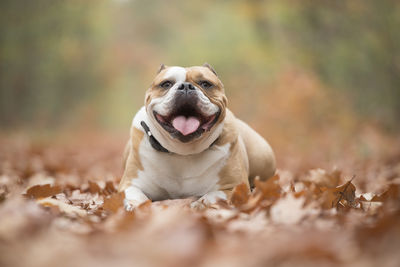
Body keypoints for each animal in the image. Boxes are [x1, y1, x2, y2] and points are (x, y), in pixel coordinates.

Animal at [119, 63, 276, 210]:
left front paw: (199, 205)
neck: (182, 152)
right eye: (166, 84)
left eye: (205, 84)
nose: (186, 86)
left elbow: (212, 196)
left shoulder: (234, 188)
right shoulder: (129, 185)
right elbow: (136, 196)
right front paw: (134, 206)